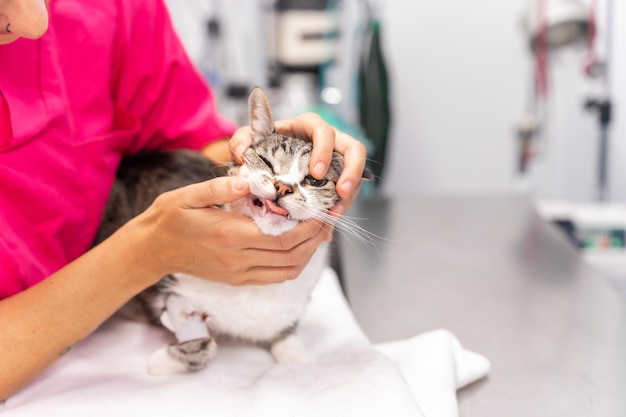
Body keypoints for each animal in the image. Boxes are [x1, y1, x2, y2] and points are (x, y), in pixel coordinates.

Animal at [95, 88, 372, 374]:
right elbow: (203, 342)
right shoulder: (170, 287)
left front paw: (298, 359)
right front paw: (161, 362)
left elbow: (286, 331)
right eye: (265, 161)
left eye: (316, 180)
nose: (283, 187)